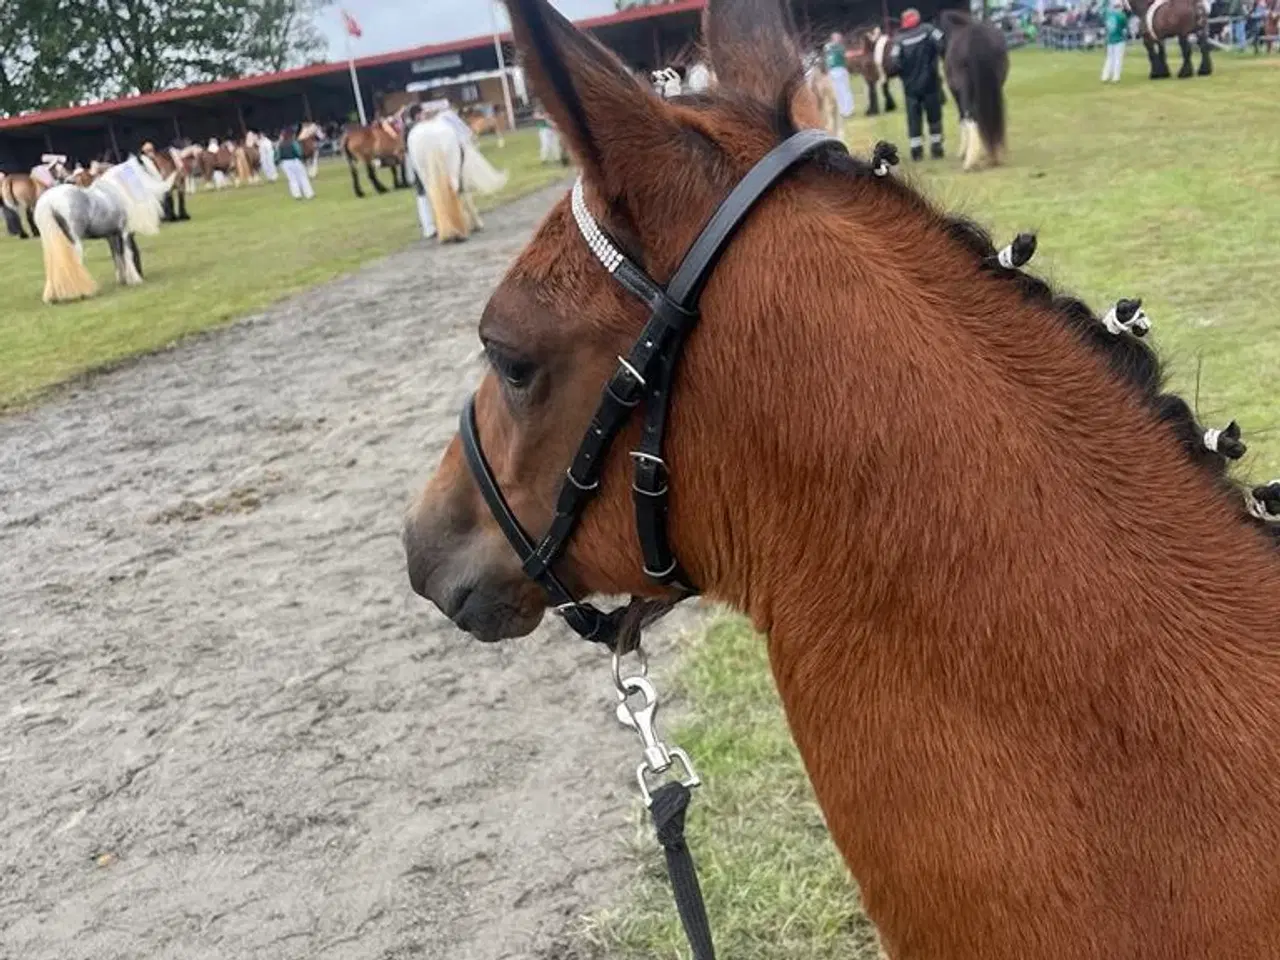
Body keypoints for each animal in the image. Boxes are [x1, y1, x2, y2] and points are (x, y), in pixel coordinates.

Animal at [33, 158, 174, 304]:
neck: (116, 191)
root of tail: (50, 201)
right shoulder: (124, 233)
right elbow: (127, 254)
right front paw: (135, 279)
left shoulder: (111, 236)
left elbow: (117, 256)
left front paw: (122, 280)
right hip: (73, 241)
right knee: (75, 262)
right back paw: (83, 292)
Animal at [406, 112, 508, 243]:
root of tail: (430, 136)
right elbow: (466, 197)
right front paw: (476, 225)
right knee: (454, 191)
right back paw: (460, 233)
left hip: (426, 177)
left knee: (434, 197)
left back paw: (447, 233)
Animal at [940, 9, 1009, 171]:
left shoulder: (956, 93)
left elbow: (962, 118)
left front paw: (963, 152)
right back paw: (994, 155)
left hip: (965, 91)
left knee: (972, 116)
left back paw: (970, 161)